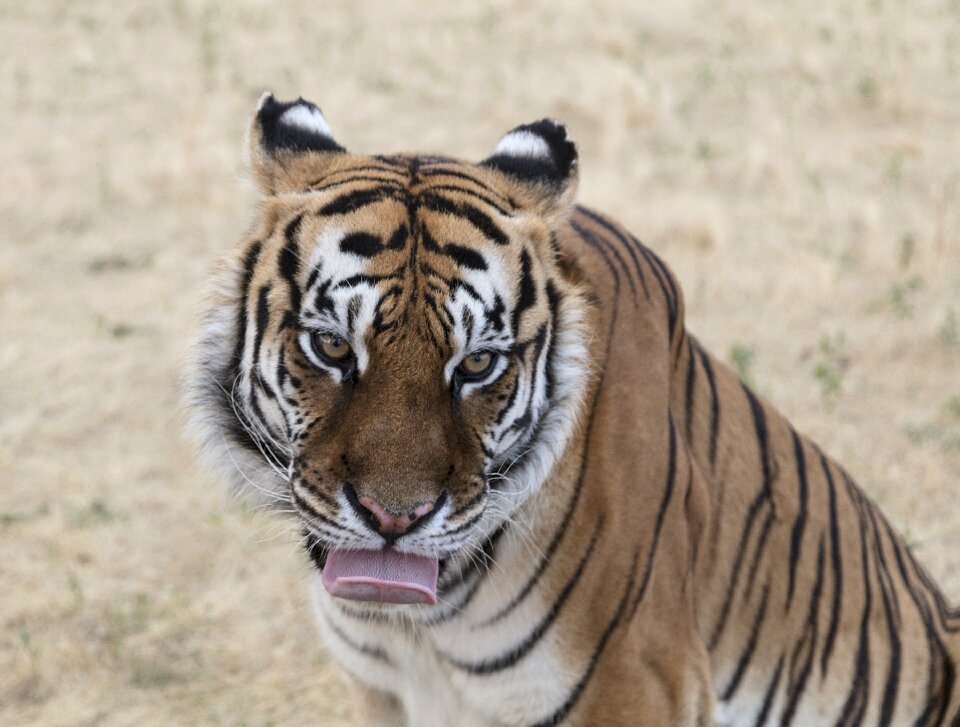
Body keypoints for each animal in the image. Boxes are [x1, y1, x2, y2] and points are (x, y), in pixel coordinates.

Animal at [186, 92, 960, 727]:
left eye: (477, 364)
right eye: (331, 346)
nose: (394, 519)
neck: (421, 630)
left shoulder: (638, 681)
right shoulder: (382, 693)